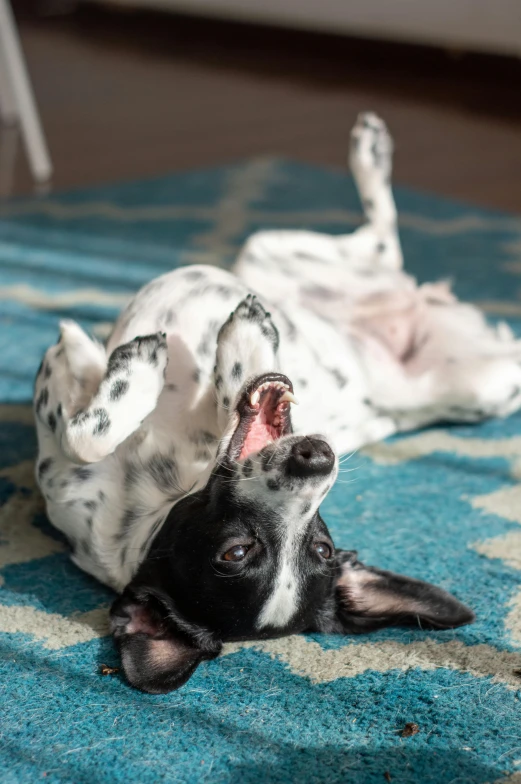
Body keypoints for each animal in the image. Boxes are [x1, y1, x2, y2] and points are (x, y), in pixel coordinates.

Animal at [33, 112, 520, 692]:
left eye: (321, 548)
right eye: (237, 553)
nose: (319, 458)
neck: (156, 484)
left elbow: (93, 427)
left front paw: (204, 349)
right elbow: (83, 427)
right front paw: (96, 358)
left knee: (382, 242)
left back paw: (369, 150)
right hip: (286, 259)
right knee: (383, 246)